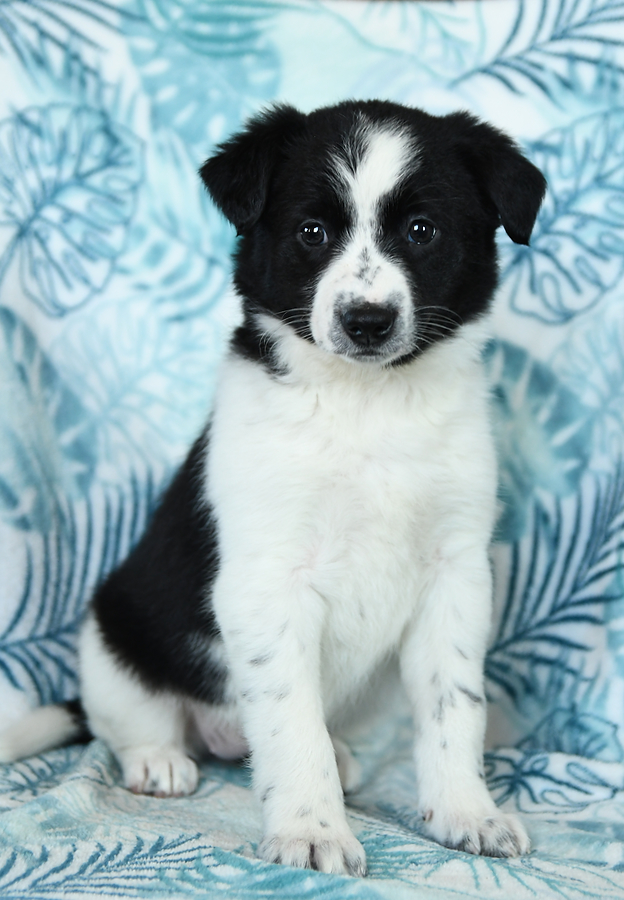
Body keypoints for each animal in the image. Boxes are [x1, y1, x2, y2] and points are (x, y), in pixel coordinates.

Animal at [0, 100, 544, 880]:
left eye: (422, 231)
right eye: (312, 233)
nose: (367, 322)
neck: (366, 406)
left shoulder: (456, 572)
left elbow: (454, 706)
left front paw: (467, 813)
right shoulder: (267, 581)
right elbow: (292, 722)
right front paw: (312, 830)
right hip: (115, 633)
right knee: (127, 719)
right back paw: (158, 760)